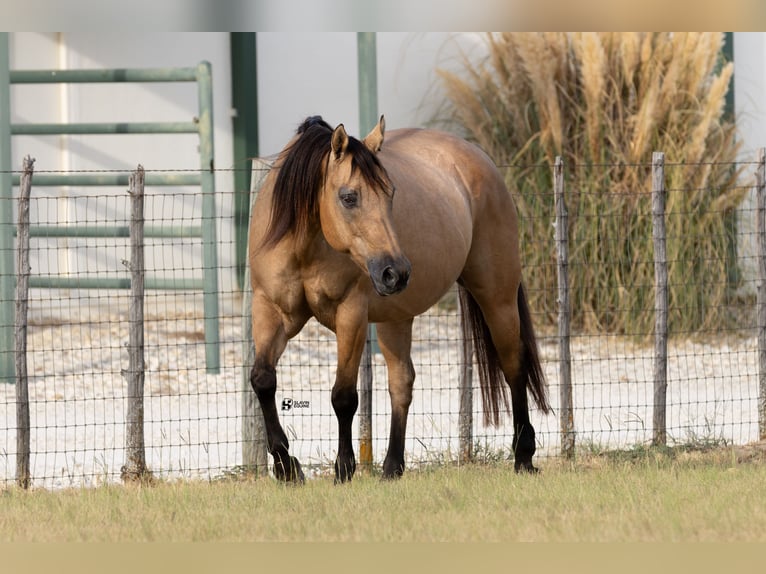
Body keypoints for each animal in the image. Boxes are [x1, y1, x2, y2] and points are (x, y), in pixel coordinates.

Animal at [248, 115, 550, 483]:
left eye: (390, 194)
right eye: (349, 197)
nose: (396, 272)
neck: (306, 243)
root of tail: (480, 159)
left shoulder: (351, 316)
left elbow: (344, 396)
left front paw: (343, 468)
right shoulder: (270, 310)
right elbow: (263, 380)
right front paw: (286, 466)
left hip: (497, 296)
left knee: (513, 364)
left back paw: (523, 456)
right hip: (397, 318)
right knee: (401, 382)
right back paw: (392, 466)